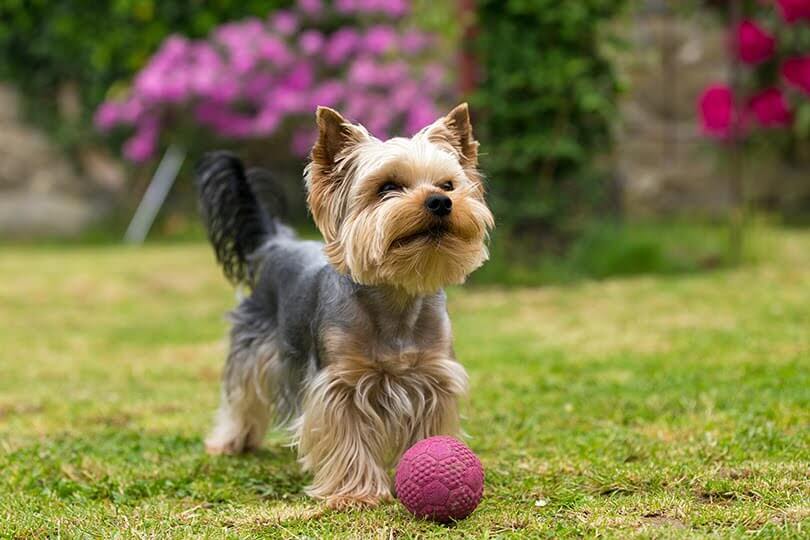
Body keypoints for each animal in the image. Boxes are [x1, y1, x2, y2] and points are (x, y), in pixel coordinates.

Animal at [196, 104, 492, 506]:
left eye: (448, 185)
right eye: (388, 187)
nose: (441, 202)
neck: (396, 296)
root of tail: (276, 242)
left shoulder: (432, 377)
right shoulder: (340, 384)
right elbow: (347, 436)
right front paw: (355, 493)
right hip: (252, 346)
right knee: (242, 394)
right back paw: (230, 441)